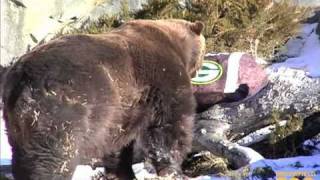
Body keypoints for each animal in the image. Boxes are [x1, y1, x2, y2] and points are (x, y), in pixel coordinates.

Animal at [1, 19, 205, 179]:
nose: (198, 71)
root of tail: (22, 77)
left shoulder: (122, 109)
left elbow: (118, 143)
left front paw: (121, 172)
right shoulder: (162, 77)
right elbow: (170, 125)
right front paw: (173, 169)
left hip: (16, 125)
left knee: (23, 158)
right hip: (62, 110)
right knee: (53, 156)